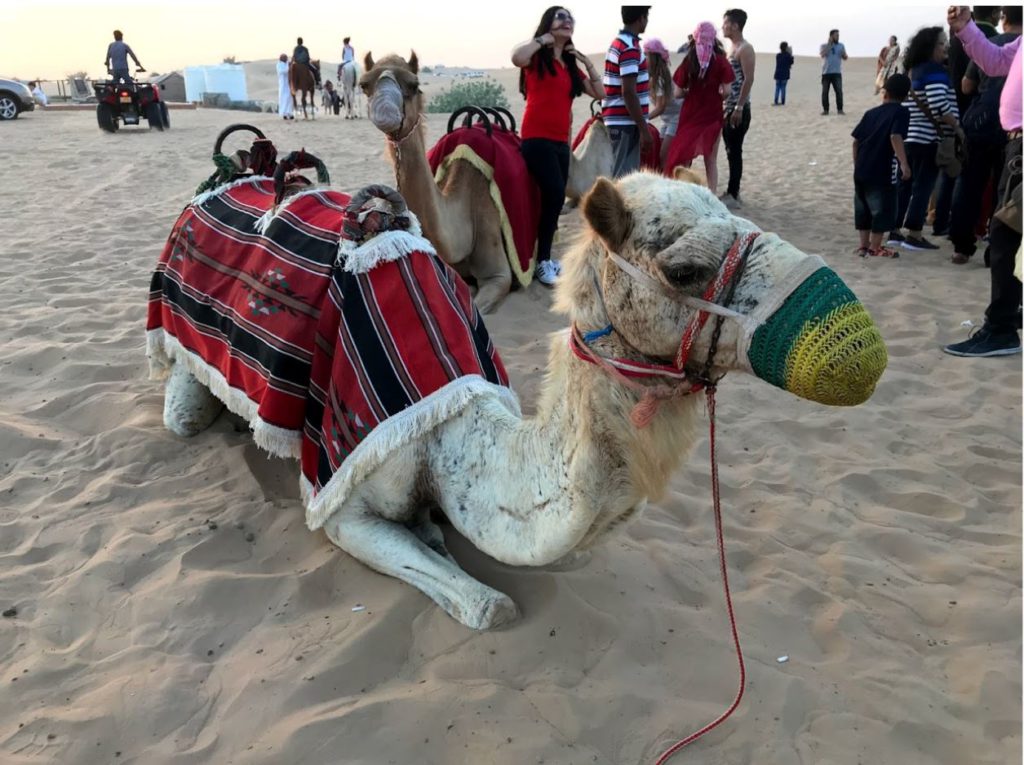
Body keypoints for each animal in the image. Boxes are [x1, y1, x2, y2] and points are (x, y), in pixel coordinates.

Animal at [157, 171, 888, 630]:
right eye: (684, 270)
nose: (859, 347)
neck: (453, 430)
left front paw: (433, 529)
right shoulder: (341, 494)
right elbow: (491, 606)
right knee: (182, 413)